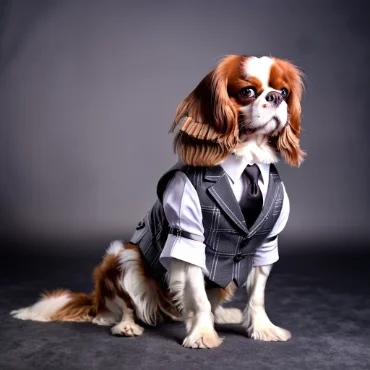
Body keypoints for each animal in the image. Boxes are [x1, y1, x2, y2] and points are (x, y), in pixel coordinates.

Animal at [12, 54, 306, 346]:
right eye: (247, 92)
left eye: (284, 92)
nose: (275, 98)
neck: (248, 160)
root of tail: (95, 301)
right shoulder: (189, 239)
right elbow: (199, 298)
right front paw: (202, 334)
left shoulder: (266, 243)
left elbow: (257, 296)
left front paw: (263, 328)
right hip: (123, 257)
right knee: (123, 308)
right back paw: (127, 326)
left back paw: (222, 314)